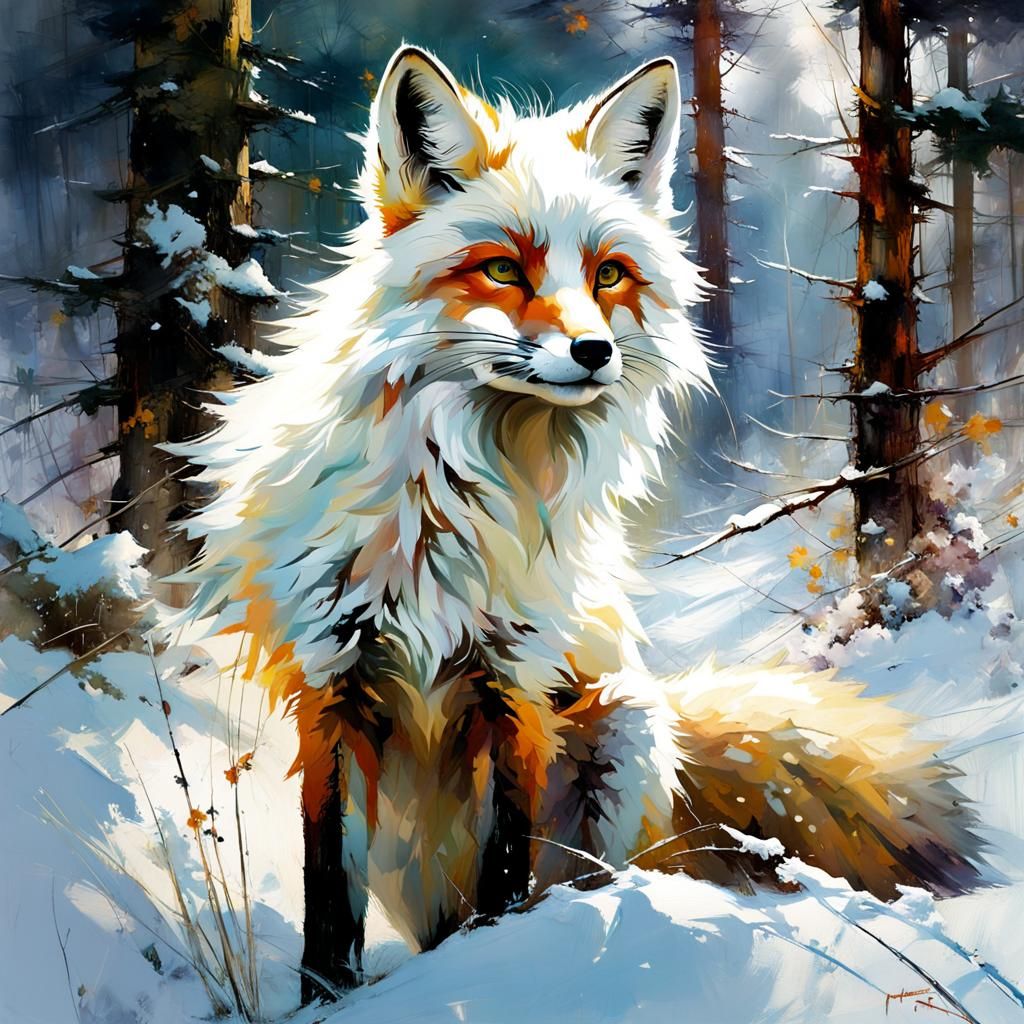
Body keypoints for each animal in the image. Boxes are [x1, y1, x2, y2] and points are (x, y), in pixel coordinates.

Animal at [171, 45, 982, 999]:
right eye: (502, 270)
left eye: (608, 275)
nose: (595, 351)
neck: (450, 508)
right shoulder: (332, 685)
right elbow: (329, 894)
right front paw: (325, 1001)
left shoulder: (515, 685)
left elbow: (506, 870)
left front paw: (501, 966)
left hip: (626, 728)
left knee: (595, 877)